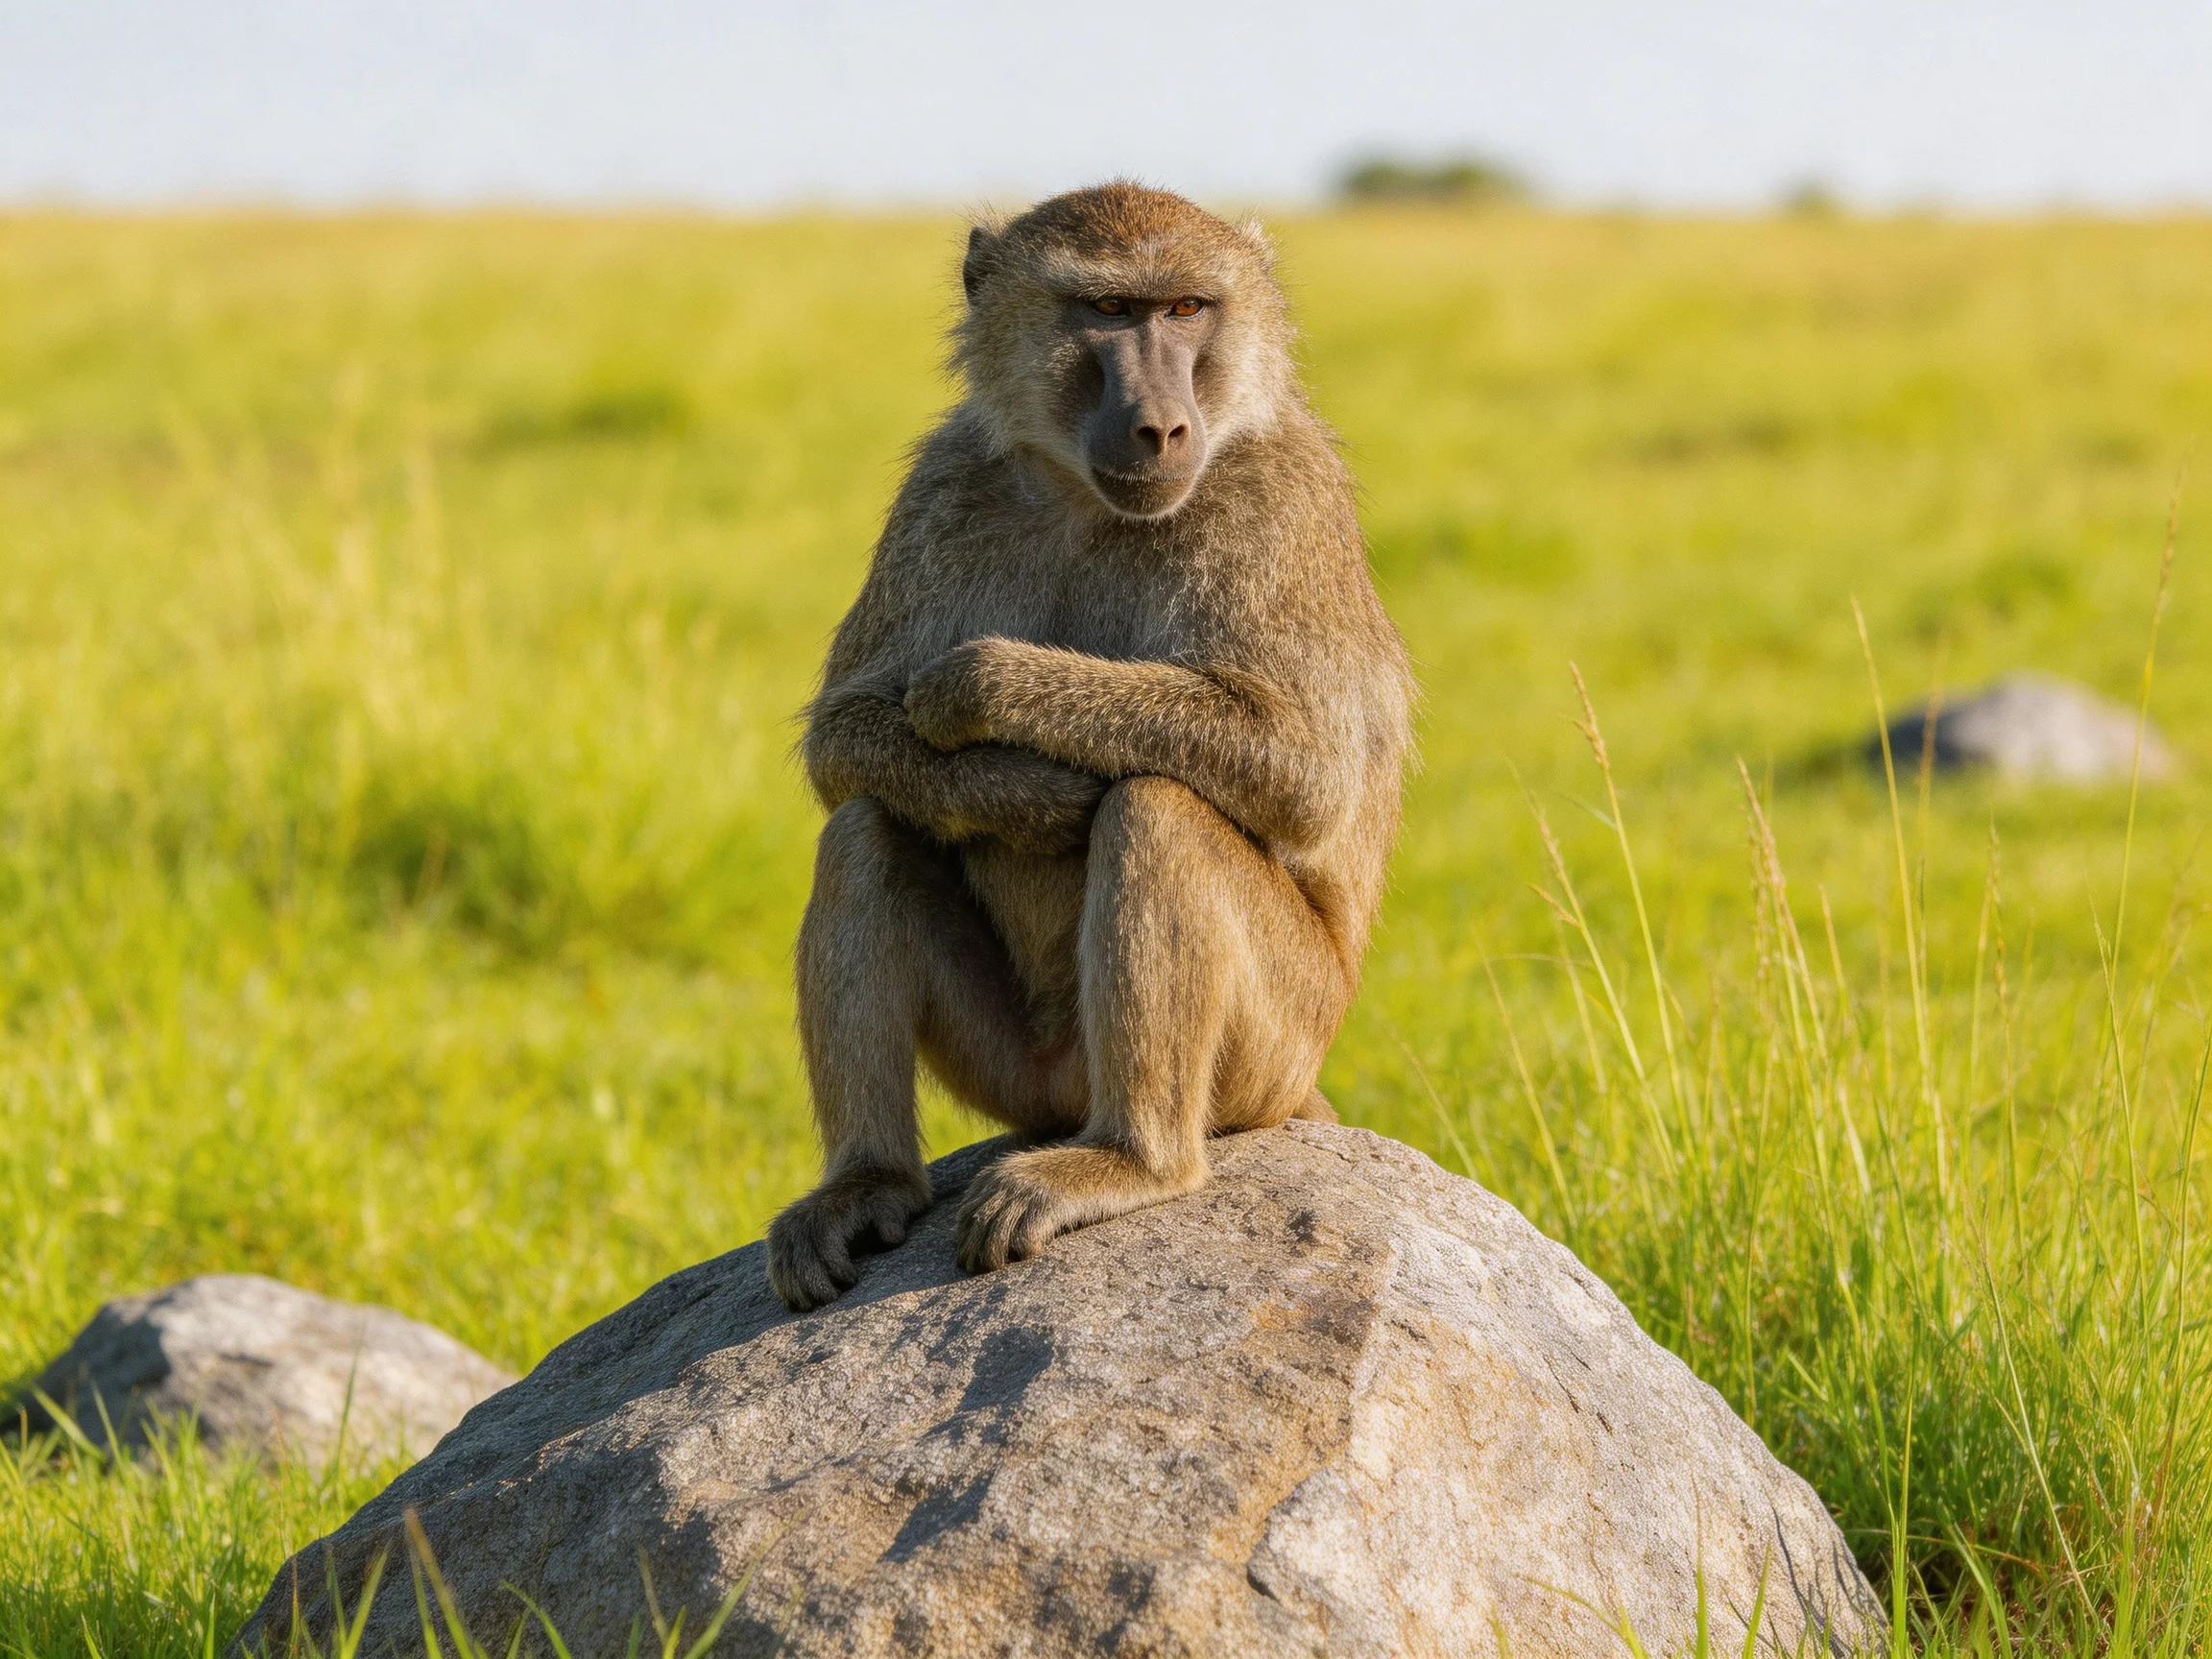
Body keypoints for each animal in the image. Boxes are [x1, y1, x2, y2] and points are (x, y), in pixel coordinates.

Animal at [765, 182, 1414, 1312]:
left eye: (1187, 307)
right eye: (1106, 310)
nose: (1159, 425)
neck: (1080, 495)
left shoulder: (1282, 498)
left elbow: (1304, 772)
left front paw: (981, 689)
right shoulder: (943, 485)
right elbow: (844, 741)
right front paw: (1024, 793)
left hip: (1276, 1048)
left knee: (1161, 806)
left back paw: (1133, 1163)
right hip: (1017, 1076)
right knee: (865, 829)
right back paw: (866, 1183)